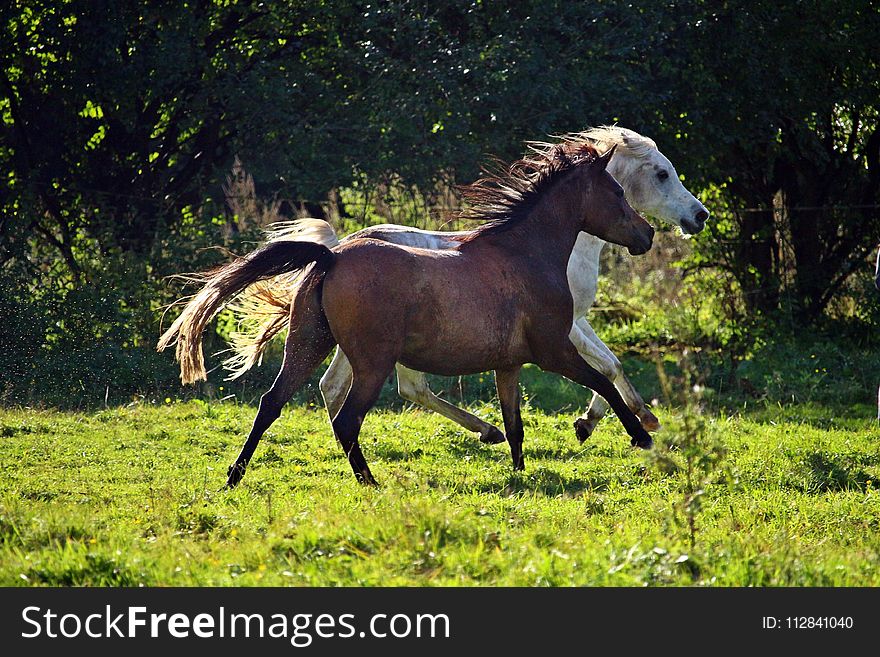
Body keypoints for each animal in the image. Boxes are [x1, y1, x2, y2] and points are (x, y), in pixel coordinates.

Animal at [156, 142, 652, 486]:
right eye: (616, 191)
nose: (646, 235)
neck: (525, 254)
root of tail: (331, 256)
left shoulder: (509, 364)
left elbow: (515, 424)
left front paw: (519, 472)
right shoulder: (553, 349)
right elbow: (604, 383)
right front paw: (640, 435)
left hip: (309, 343)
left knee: (272, 403)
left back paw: (233, 477)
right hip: (371, 362)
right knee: (347, 418)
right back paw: (369, 482)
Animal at [225, 125, 708, 444]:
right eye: (661, 174)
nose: (699, 216)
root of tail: (338, 249)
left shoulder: (574, 323)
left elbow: (612, 365)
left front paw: (625, 419)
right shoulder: (565, 328)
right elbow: (608, 367)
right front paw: (619, 422)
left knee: (332, 386)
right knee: (407, 388)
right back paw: (486, 430)